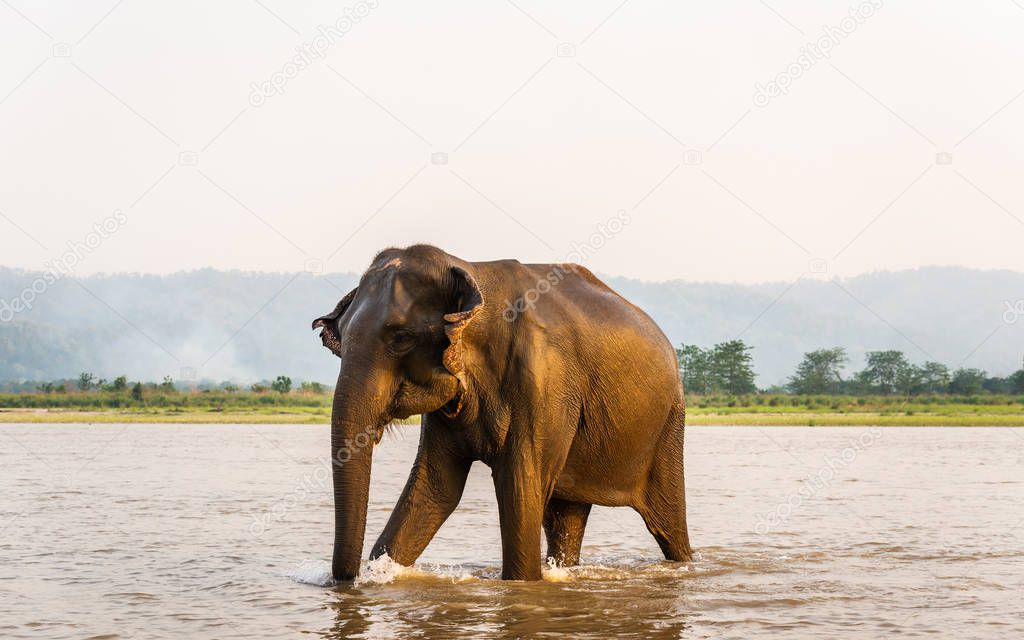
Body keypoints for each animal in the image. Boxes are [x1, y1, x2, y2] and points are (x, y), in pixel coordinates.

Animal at [311, 243, 696, 577]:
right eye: (341, 337)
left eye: (401, 338)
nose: (351, 579)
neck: (469, 270)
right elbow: (436, 488)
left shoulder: (542, 380)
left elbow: (519, 489)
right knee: (566, 516)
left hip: (668, 427)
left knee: (668, 525)